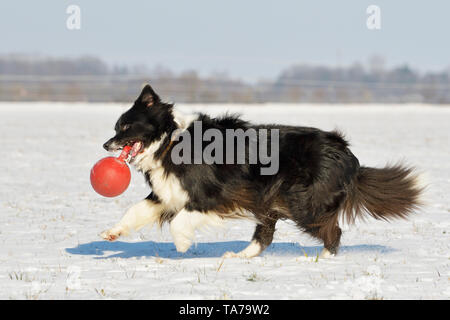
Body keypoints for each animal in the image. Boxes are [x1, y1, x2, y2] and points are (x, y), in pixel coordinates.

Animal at [100, 84, 424, 258]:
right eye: (116, 127)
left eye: (126, 126)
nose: (105, 144)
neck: (170, 140)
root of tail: (348, 155)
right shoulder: (167, 193)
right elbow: (135, 211)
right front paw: (111, 233)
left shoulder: (213, 195)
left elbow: (180, 221)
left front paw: (182, 244)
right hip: (273, 198)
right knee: (265, 234)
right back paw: (239, 256)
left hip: (301, 201)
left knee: (334, 230)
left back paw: (324, 258)